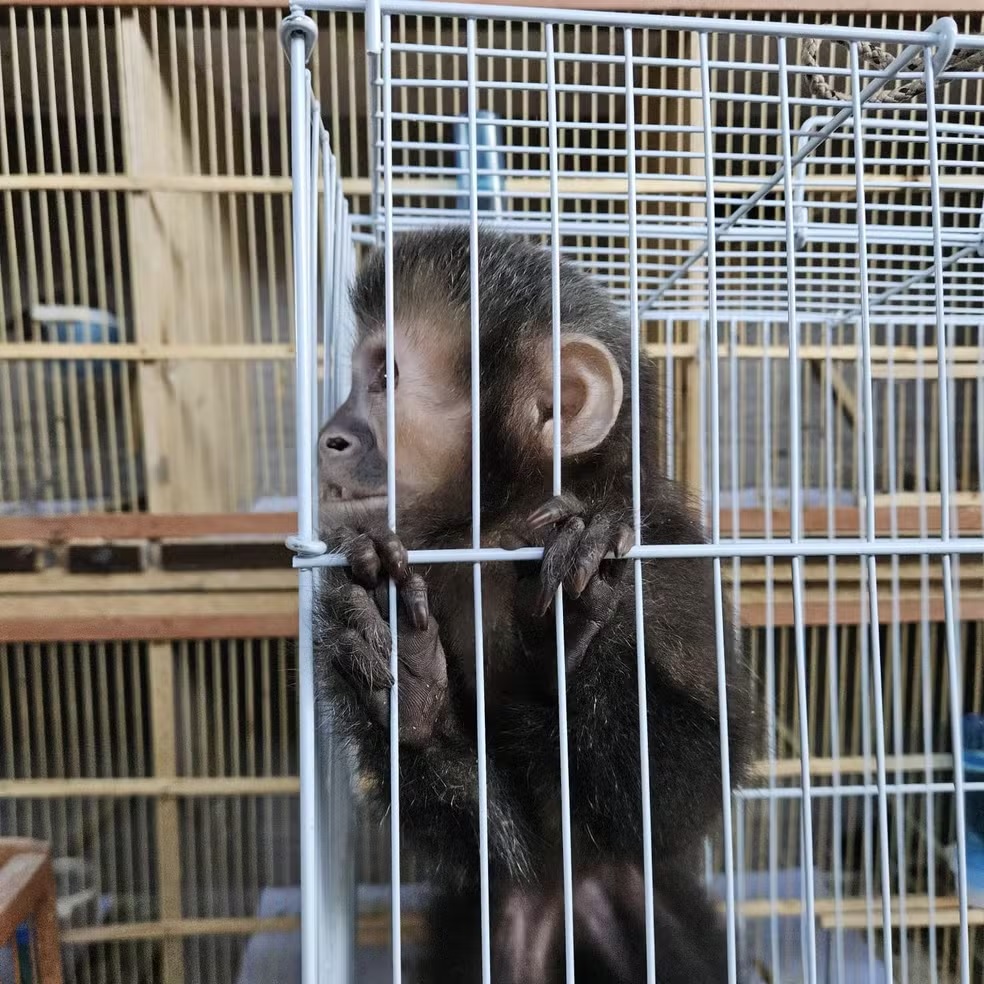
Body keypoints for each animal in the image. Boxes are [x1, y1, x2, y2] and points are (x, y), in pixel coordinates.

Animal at [314, 227, 757, 982]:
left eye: (385, 378)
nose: (330, 436)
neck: (501, 530)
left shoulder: (662, 550)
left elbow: (678, 800)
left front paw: (570, 636)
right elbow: (499, 849)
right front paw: (406, 678)